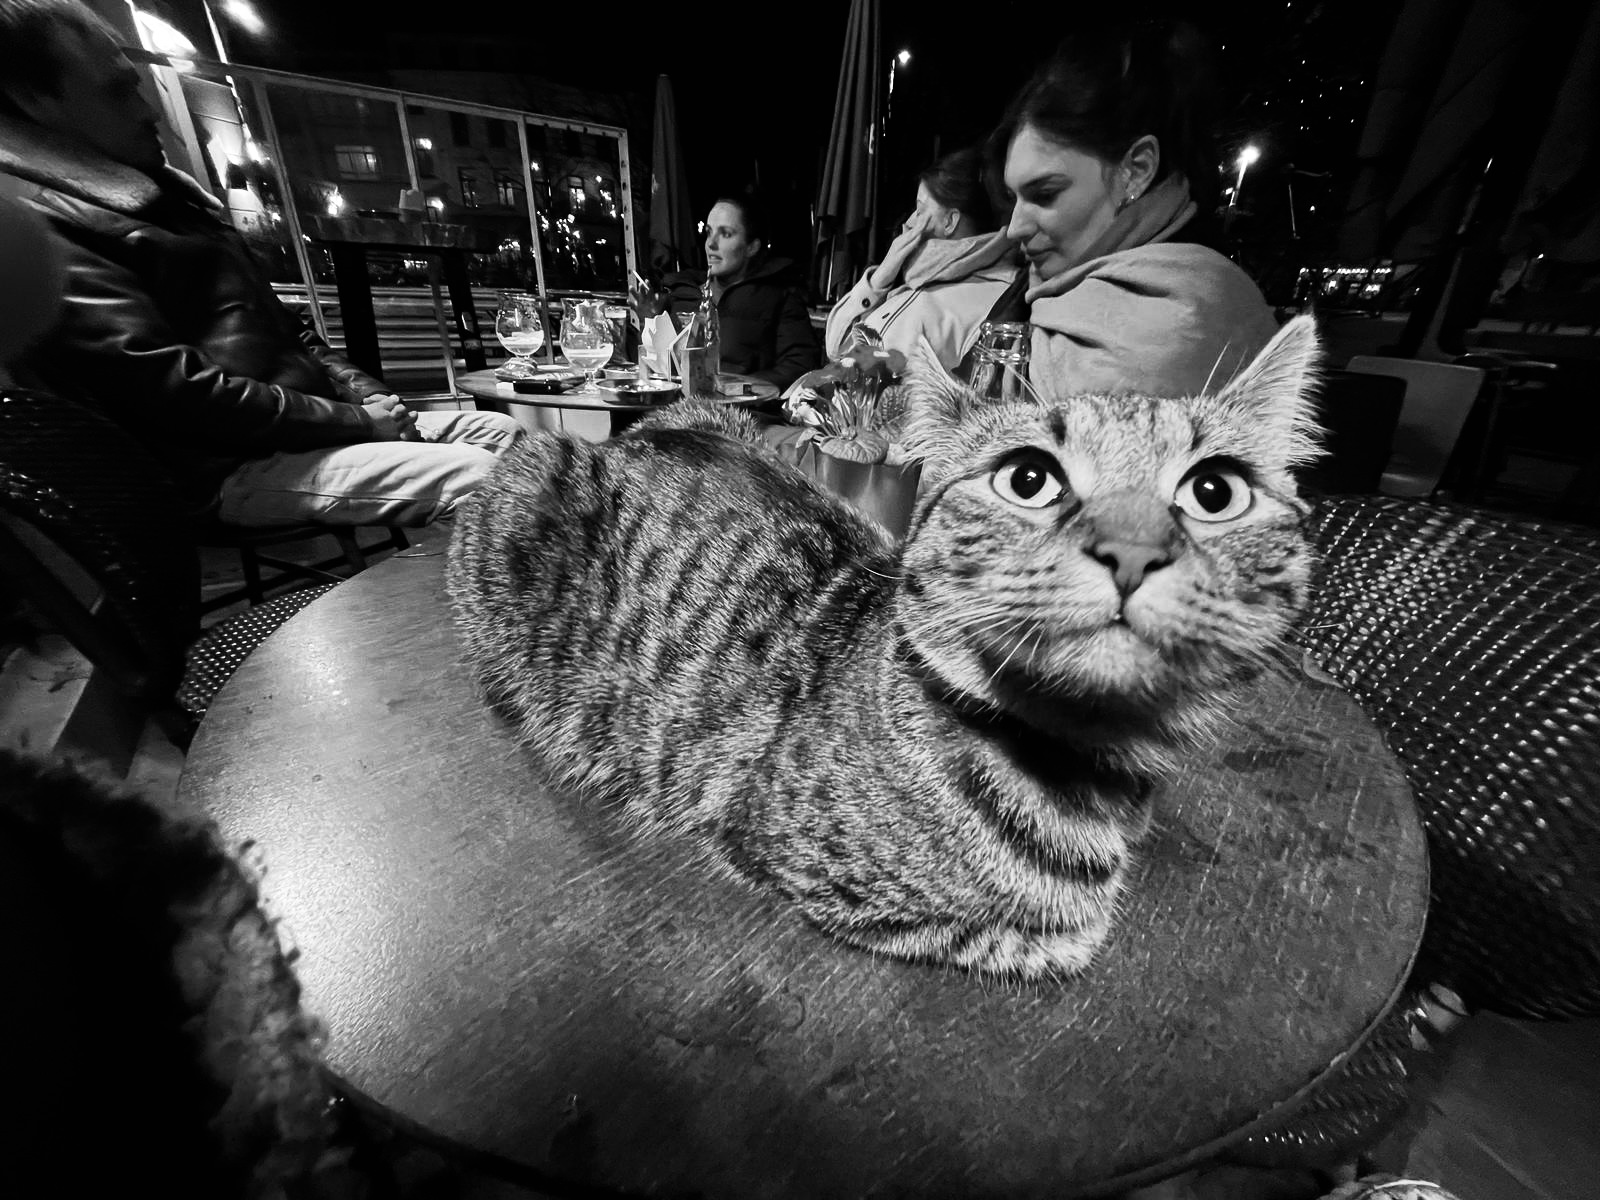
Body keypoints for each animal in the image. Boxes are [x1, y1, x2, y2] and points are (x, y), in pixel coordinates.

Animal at [445, 315, 1322, 980]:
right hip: (521, 492)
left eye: (1215, 492)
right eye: (1028, 479)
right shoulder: (797, 856)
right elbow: (1043, 937)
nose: (1133, 549)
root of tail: (624, 439)